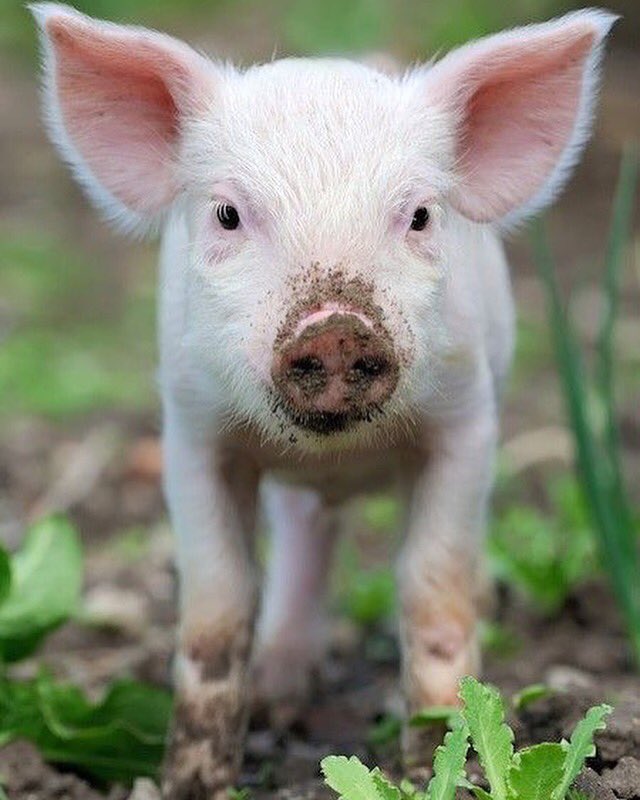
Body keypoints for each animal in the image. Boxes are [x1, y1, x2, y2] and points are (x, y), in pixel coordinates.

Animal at [31, 4, 616, 797]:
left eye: (420, 215)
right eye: (227, 214)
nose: (336, 327)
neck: (340, 448)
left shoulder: (468, 421)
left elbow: (430, 587)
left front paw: (435, 757)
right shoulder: (191, 428)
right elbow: (217, 602)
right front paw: (192, 781)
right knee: (303, 538)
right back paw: (281, 691)